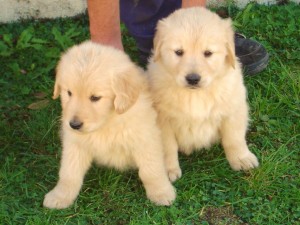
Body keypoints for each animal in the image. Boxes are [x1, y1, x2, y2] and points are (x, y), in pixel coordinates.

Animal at [44, 40, 176, 209]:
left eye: (95, 97)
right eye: (69, 93)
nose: (74, 125)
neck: (107, 122)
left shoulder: (145, 140)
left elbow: (151, 170)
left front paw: (161, 193)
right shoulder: (75, 144)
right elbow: (69, 173)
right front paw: (60, 196)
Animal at [148, 7, 258, 183]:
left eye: (208, 53)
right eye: (178, 52)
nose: (193, 79)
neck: (196, 95)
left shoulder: (234, 109)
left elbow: (234, 138)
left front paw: (241, 158)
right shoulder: (162, 120)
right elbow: (167, 146)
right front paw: (166, 169)